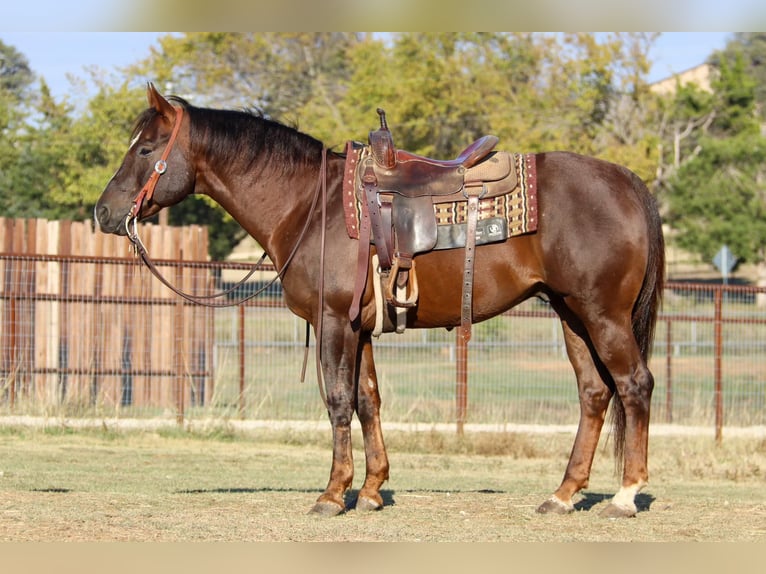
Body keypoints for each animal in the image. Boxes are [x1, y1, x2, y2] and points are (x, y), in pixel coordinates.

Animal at [96, 83, 664, 520]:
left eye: (144, 150)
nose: (104, 212)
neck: (309, 204)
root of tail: (626, 181)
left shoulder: (333, 322)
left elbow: (337, 401)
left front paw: (332, 494)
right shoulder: (361, 328)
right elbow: (368, 400)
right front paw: (370, 491)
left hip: (603, 315)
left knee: (634, 385)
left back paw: (625, 496)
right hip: (571, 314)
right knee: (595, 393)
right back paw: (563, 495)